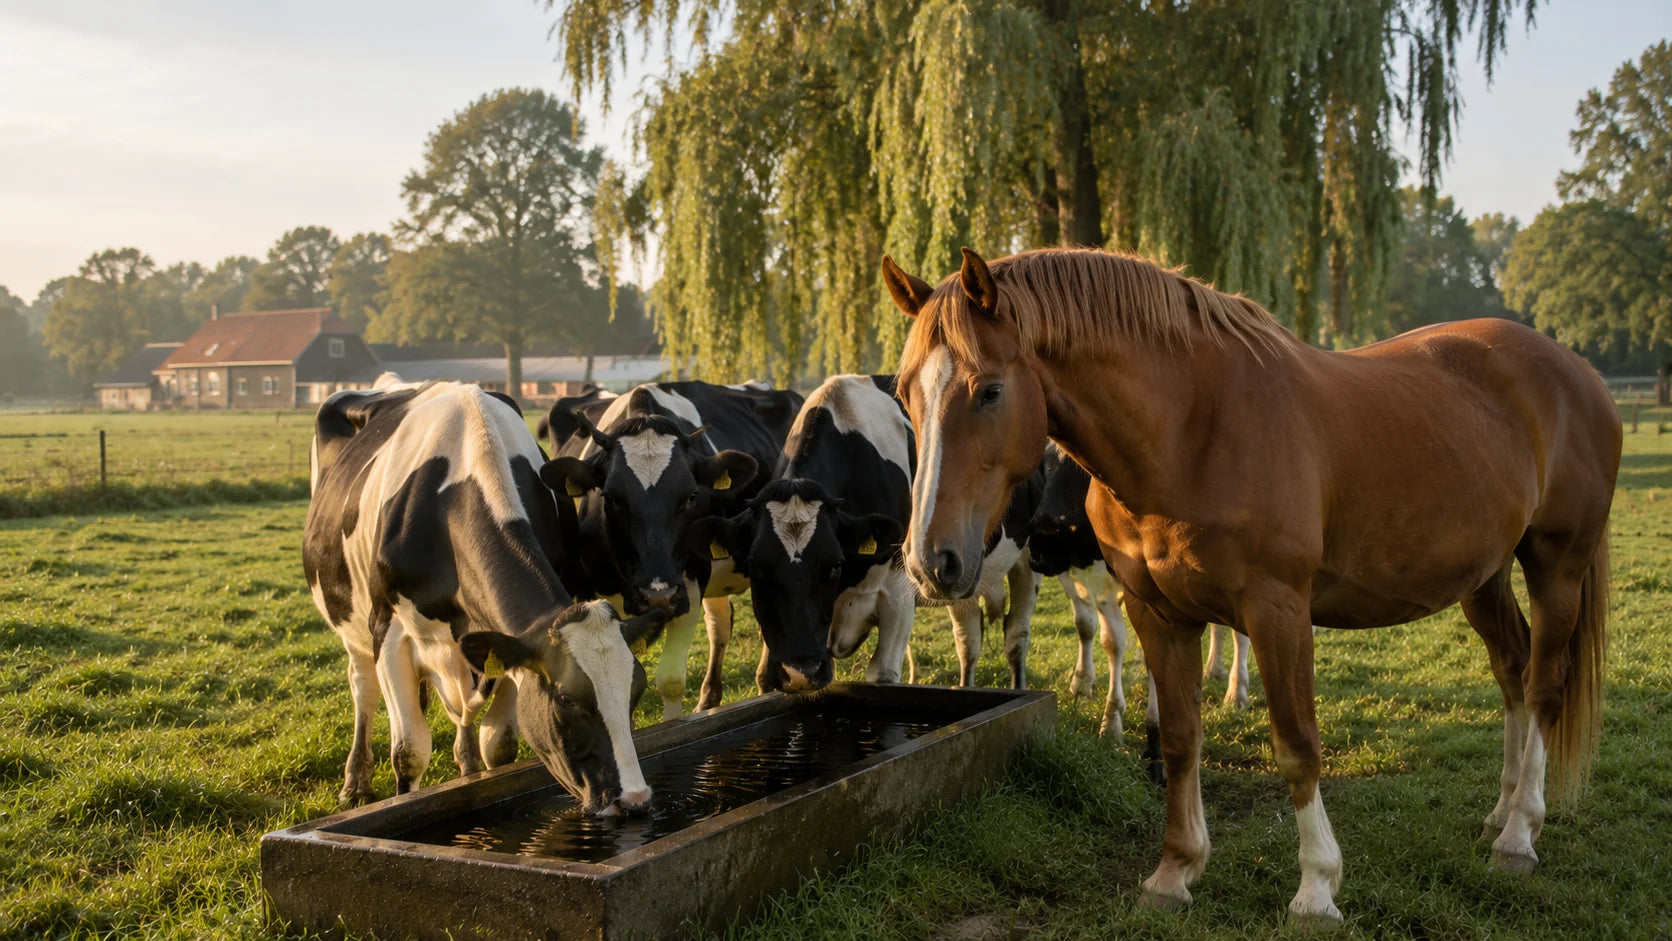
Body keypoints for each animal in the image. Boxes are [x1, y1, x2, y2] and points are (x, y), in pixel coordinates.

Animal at [882, 246, 1619, 926]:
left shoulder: (1278, 610)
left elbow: (1296, 743)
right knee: (1512, 671)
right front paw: (1175, 872)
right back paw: (1501, 812)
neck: (1194, 428)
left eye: (989, 390)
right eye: (906, 394)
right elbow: (1180, 738)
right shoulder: (1159, 613)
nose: (929, 561)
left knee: (1543, 685)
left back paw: (1519, 834)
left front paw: (1317, 888)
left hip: (1556, 566)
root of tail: (1577, 369)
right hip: (1484, 576)